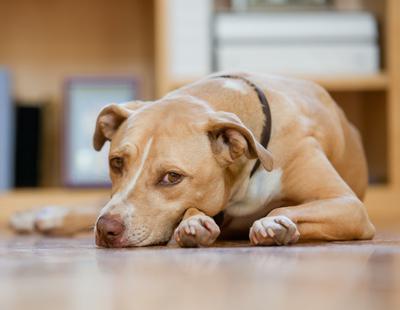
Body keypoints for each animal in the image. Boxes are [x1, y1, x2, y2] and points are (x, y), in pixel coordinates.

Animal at [9, 72, 376, 247]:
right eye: (116, 163)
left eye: (172, 177)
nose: (106, 229)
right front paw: (193, 223)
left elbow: (280, 210)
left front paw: (274, 225)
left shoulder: (349, 206)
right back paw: (41, 217)